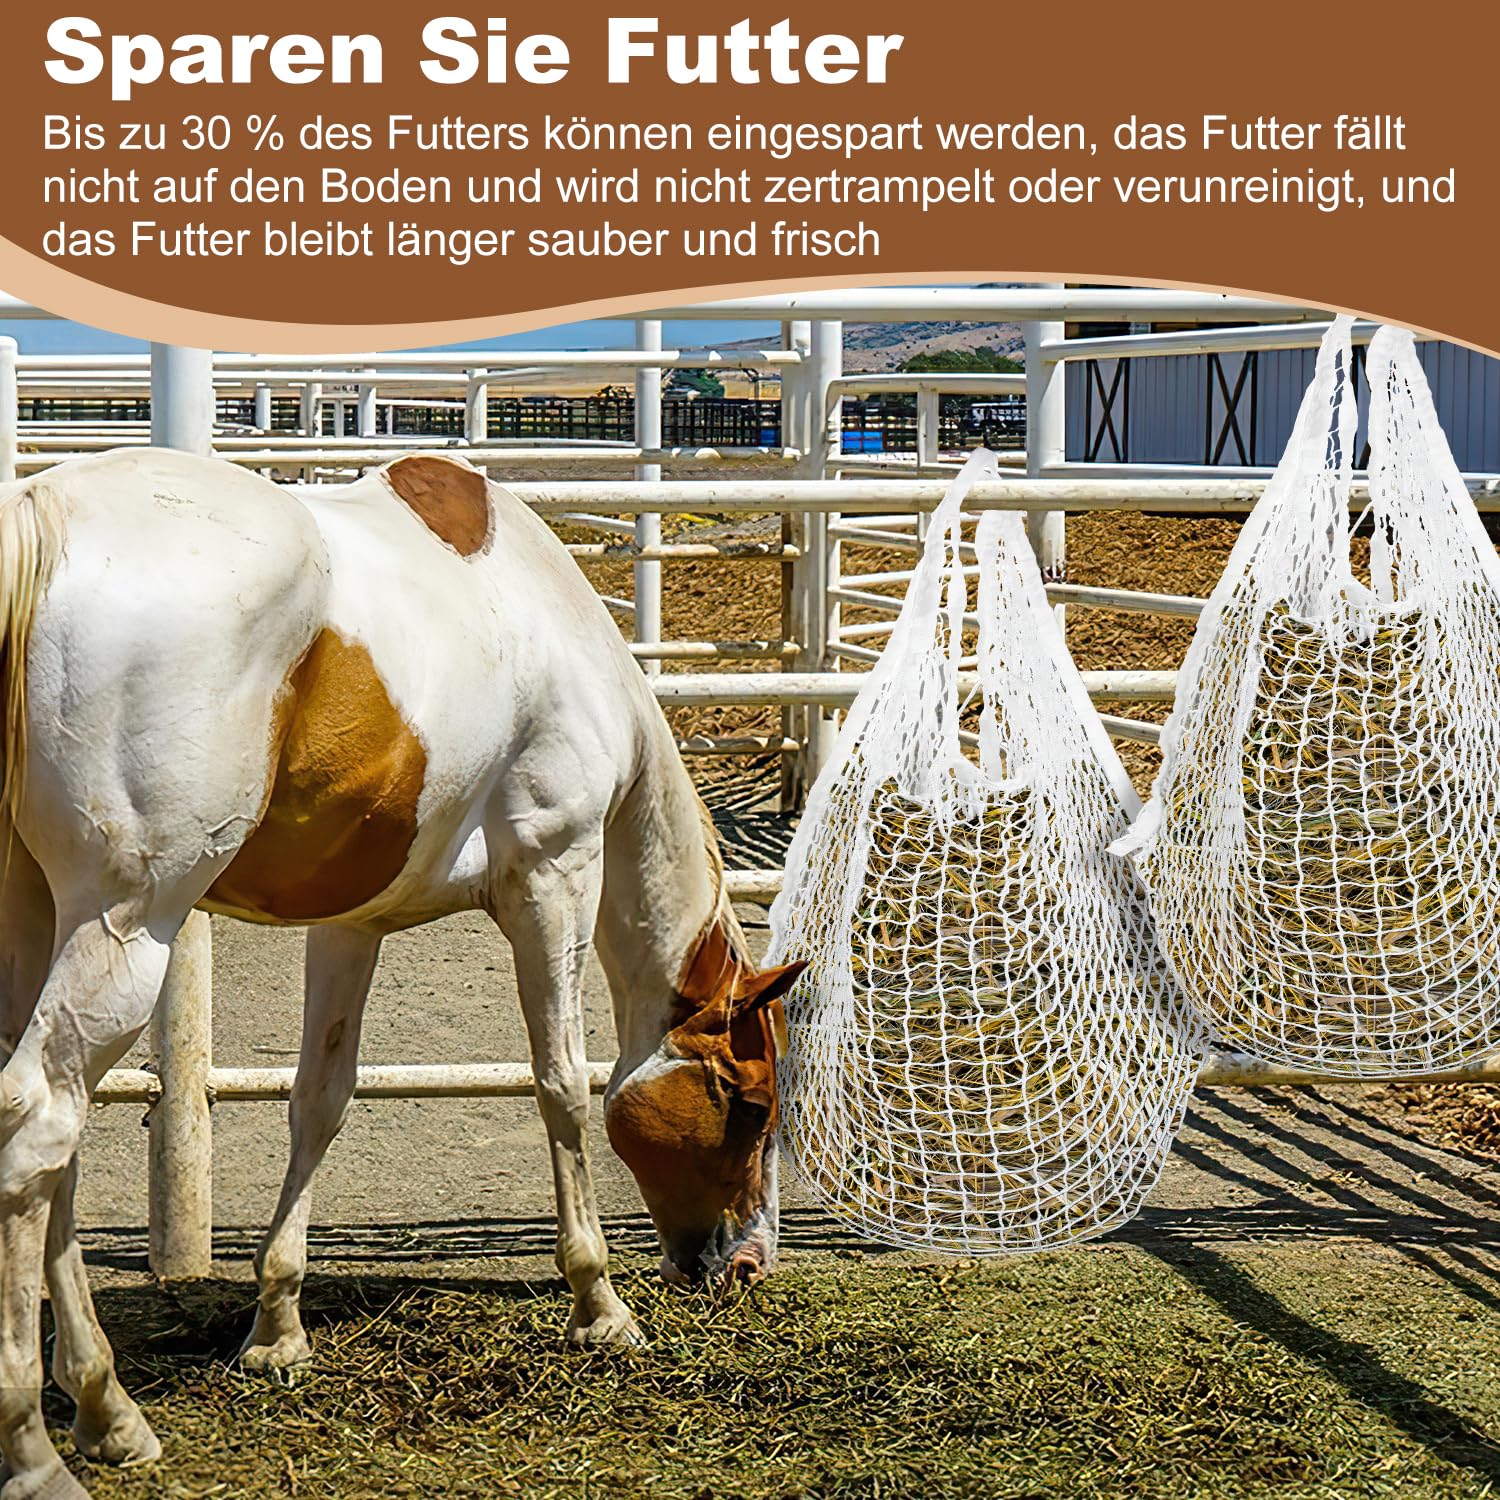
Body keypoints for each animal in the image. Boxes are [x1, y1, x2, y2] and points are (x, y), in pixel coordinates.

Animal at [0, 448, 804, 1500]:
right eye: (750, 1103)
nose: (746, 1263)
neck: (548, 621)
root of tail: (41, 513)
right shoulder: (554, 875)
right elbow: (562, 1086)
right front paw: (600, 1307)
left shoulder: (352, 924)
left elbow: (320, 1100)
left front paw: (278, 1330)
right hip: (128, 928)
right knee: (37, 1126)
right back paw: (37, 1449)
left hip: (38, 922)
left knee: (60, 1147)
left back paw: (109, 1414)